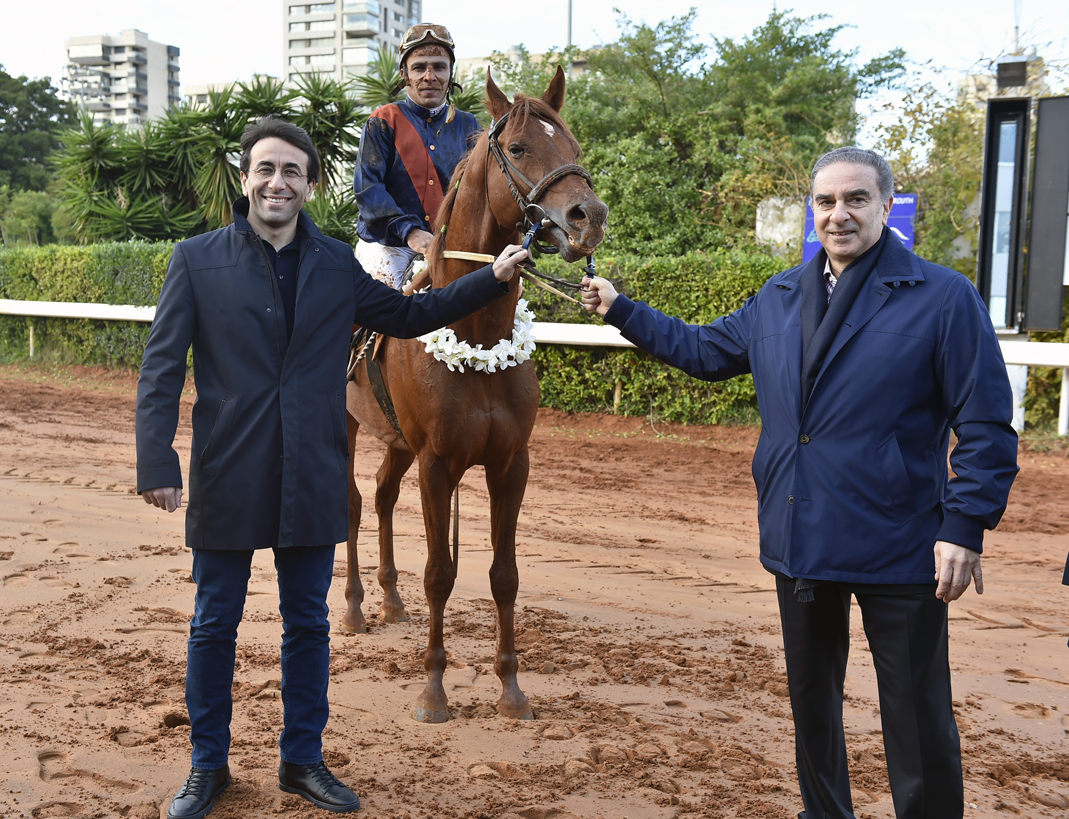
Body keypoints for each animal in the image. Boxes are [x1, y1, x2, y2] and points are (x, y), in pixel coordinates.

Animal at [340, 67, 608, 723]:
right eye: (518, 147)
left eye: (573, 144)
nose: (588, 216)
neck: (477, 335)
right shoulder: (438, 464)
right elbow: (440, 573)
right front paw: (433, 690)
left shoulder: (510, 464)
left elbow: (503, 575)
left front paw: (511, 689)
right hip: (346, 427)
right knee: (354, 503)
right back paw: (355, 607)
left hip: (398, 445)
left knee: (381, 496)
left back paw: (389, 600)